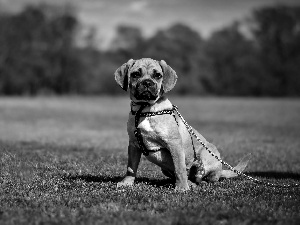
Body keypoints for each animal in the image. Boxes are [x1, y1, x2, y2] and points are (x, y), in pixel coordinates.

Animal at [113, 57, 250, 190]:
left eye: (157, 75)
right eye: (135, 74)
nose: (147, 83)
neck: (144, 108)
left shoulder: (174, 143)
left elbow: (179, 168)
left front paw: (182, 188)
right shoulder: (134, 144)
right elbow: (131, 167)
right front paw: (127, 183)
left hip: (207, 153)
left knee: (208, 178)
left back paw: (197, 177)